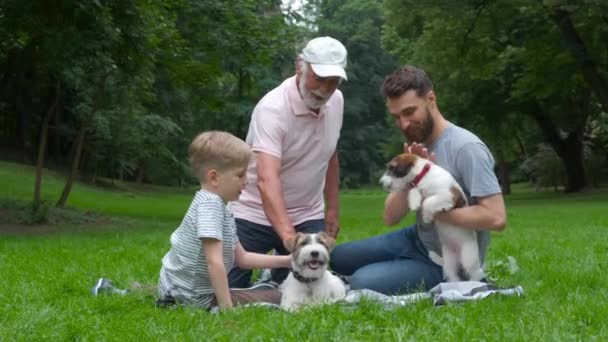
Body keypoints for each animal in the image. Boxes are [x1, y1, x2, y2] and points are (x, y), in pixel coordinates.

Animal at [380, 154, 484, 282]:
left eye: (391, 167)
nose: (381, 183)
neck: (425, 175)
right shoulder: (416, 186)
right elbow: (414, 191)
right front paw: (414, 202)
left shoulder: (447, 195)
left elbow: (428, 201)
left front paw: (426, 216)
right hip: (449, 262)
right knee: (452, 275)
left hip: (468, 258)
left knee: (476, 273)